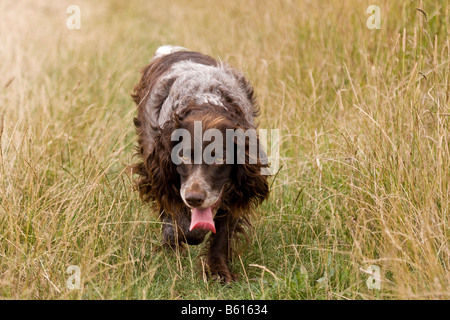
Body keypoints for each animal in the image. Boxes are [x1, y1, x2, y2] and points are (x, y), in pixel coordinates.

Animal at [132, 45, 268, 282]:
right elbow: (185, 225)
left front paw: (219, 271)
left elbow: (222, 232)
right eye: (184, 157)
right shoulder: (163, 174)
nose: (194, 198)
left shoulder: (234, 189)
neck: (205, 101)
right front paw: (180, 238)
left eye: (220, 158)